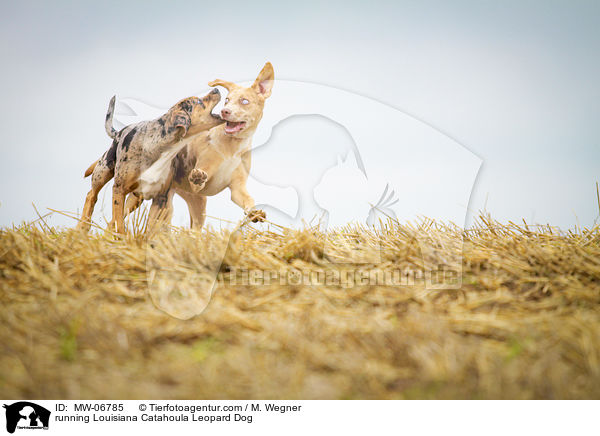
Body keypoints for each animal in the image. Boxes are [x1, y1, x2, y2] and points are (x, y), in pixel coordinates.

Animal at [133, 62, 274, 230]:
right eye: (227, 100)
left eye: (244, 101)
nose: (224, 111)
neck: (232, 148)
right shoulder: (198, 184)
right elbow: (198, 180)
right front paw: (197, 178)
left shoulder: (237, 189)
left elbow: (249, 200)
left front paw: (255, 213)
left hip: (194, 204)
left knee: (194, 230)